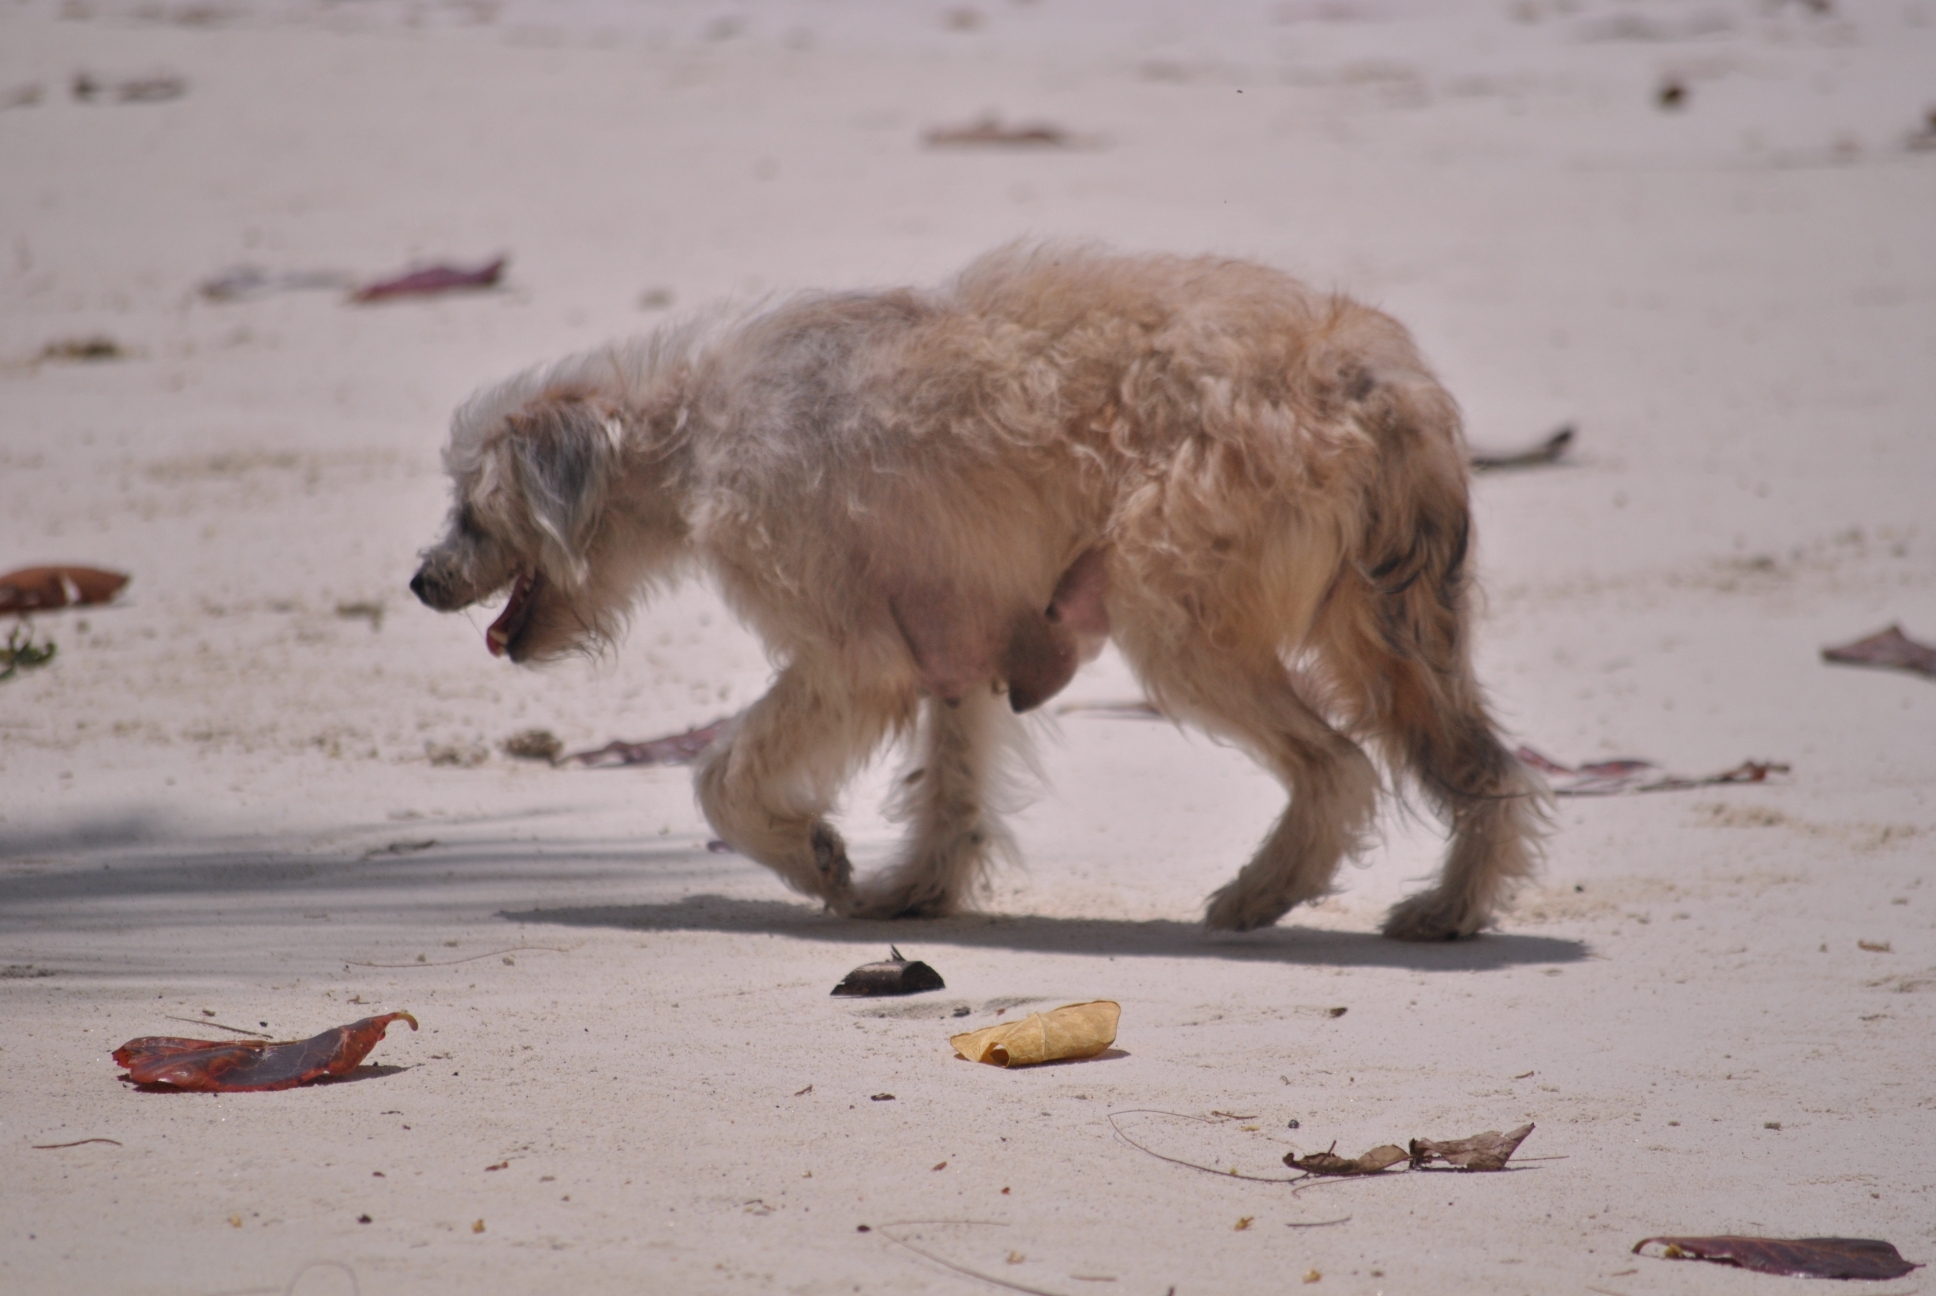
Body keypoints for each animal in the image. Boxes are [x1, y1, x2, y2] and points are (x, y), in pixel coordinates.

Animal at [408, 242, 1541, 933]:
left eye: (470, 508)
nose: (421, 582)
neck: (691, 429)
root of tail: (1375, 382)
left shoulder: (852, 661)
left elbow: (723, 777)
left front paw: (814, 858)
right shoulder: (955, 651)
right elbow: (951, 789)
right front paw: (916, 891)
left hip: (1184, 629)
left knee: (1336, 767)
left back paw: (1263, 894)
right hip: (1395, 636)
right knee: (1487, 771)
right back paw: (1451, 910)